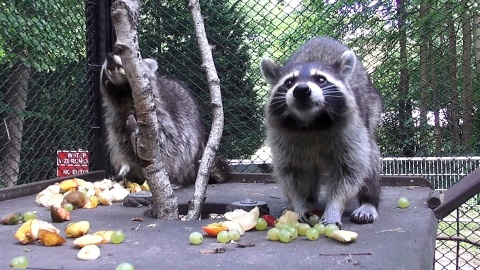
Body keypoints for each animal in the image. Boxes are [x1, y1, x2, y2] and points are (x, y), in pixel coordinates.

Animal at [99, 52, 229, 188]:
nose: (109, 56)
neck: (122, 92)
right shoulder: (117, 119)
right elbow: (122, 146)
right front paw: (125, 166)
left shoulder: (158, 115)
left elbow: (166, 143)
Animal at [260, 35, 384, 226]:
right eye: (289, 82)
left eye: (321, 79)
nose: (302, 90)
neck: (311, 122)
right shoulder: (281, 136)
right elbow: (290, 172)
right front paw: (299, 203)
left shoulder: (351, 129)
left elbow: (349, 171)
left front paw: (334, 206)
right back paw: (307, 201)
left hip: (371, 110)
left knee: (370, 159)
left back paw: (369, 201)